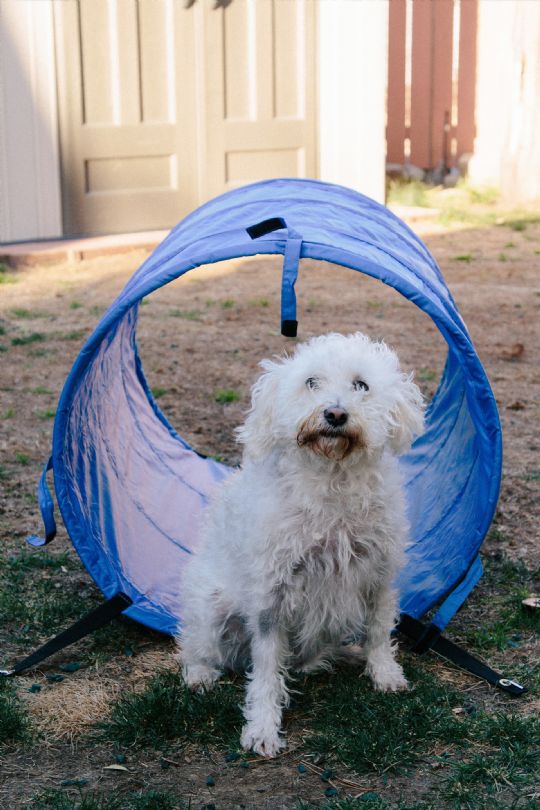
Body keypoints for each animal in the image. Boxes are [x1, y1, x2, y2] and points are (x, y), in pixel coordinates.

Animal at [175, 332, 424, 756]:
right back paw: (200, 674)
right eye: (311, 382)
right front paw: (262, 727)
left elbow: (378, 630)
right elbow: (265, 672)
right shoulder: (271, 598)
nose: (335, 414)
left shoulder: (379, 575)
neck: (333, 478)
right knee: (196, 647)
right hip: (211, 607)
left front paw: (385, 673)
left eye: (361, 385)